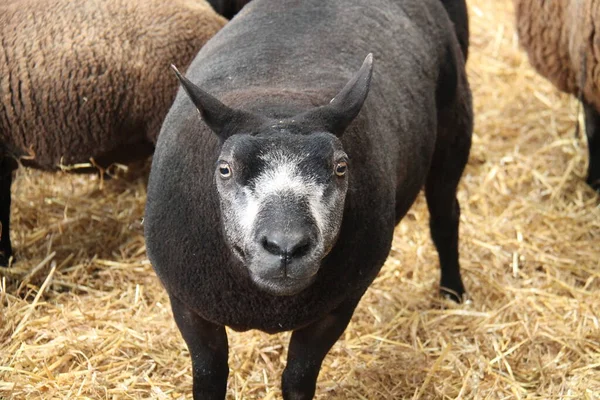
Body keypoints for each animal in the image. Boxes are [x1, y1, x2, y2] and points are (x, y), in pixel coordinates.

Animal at [144, 0, 474, 396]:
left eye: (341, 167)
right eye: (225, 169)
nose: (286, 247)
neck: (277, 105)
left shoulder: (337, 306)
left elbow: (298, 378)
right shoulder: (188, 306)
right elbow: (209, 377)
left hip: (454, 125)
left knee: (445, 217)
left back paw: (453, 292)